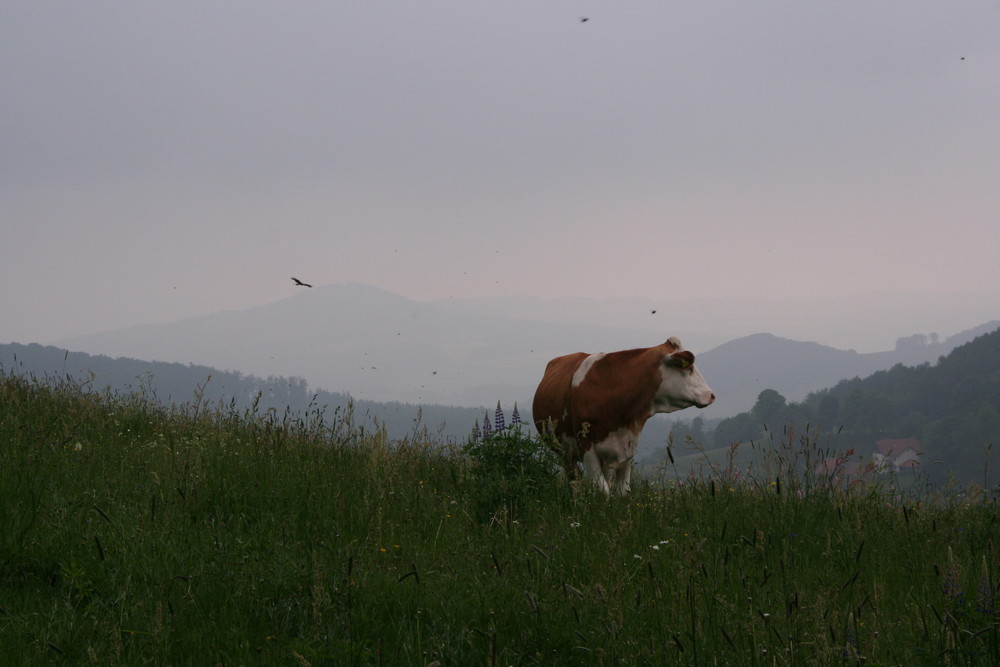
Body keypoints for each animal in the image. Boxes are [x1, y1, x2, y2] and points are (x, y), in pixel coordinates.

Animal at [532, 336, 712, 494]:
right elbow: (602, 490)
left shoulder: (628, 446)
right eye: (689, 367)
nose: (711, 395)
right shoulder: (586, 446)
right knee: (574, 480)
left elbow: (622, 491)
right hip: (564, 451)